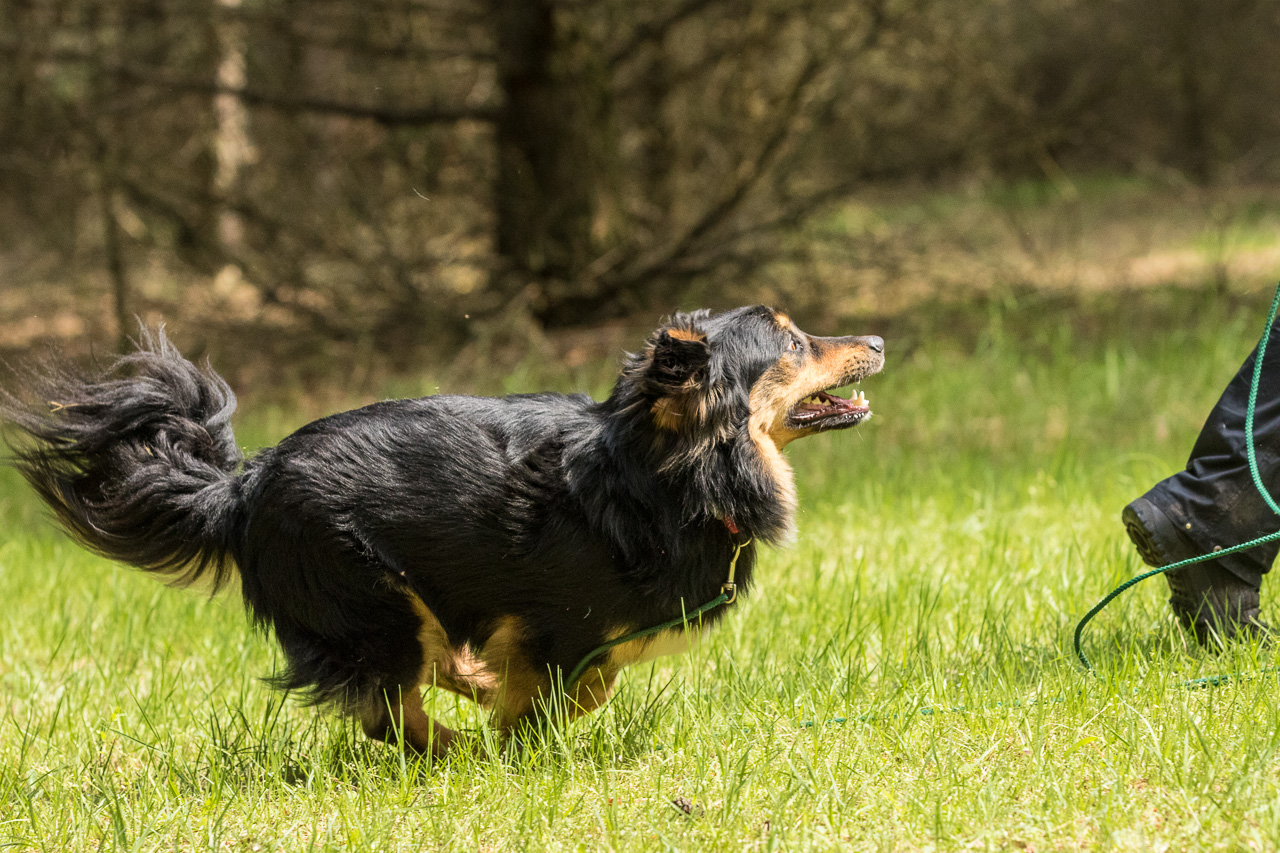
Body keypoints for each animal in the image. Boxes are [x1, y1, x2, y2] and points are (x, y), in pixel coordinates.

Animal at [1, 306, 883, 757]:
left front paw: (509, 705)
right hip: (369, 596)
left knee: (419, 670)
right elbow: (572, 687)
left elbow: (584, 682)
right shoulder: (560, 621)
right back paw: (460, 747)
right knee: (390, 709)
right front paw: (520, 741)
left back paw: (472, 689)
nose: (876, 339)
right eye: (794, 341)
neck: (666, 472)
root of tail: (243, 485)